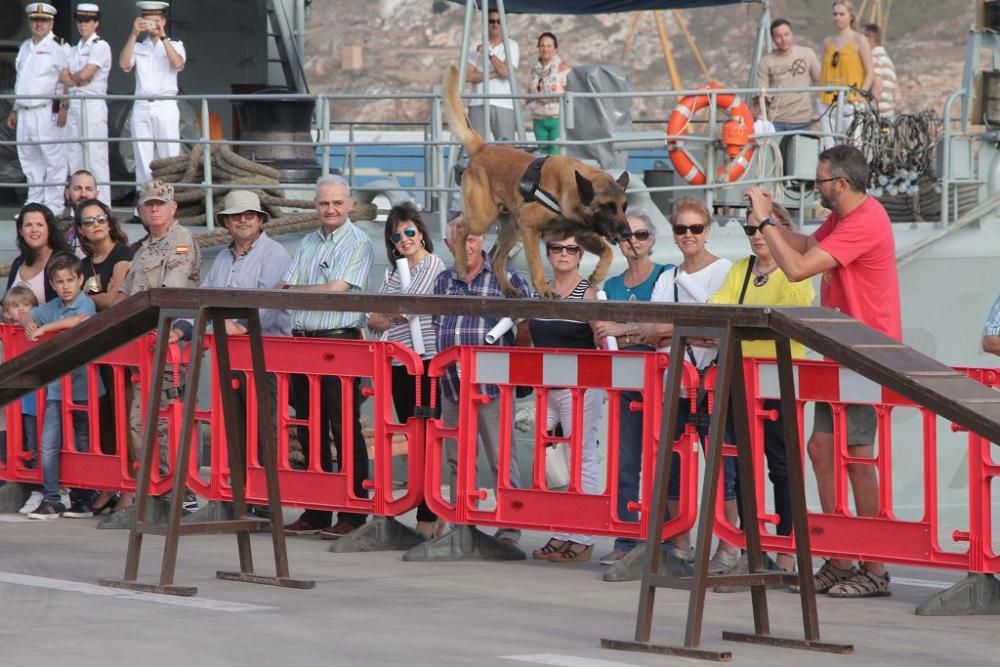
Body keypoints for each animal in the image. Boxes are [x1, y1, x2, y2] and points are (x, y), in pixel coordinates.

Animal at [446, 66, 632, 298]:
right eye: (608, 207)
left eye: (624, 207)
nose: (628, 233)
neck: (569, 190)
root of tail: (482, 147)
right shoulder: (529, 228)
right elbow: (536, 265)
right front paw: (544, 289)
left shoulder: (582, 236)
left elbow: (608, 252)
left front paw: (597, 275)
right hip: (483, 219)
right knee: (462, 227)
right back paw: (461, 265)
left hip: (511, 231)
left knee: (497, 260)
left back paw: (509, 289)